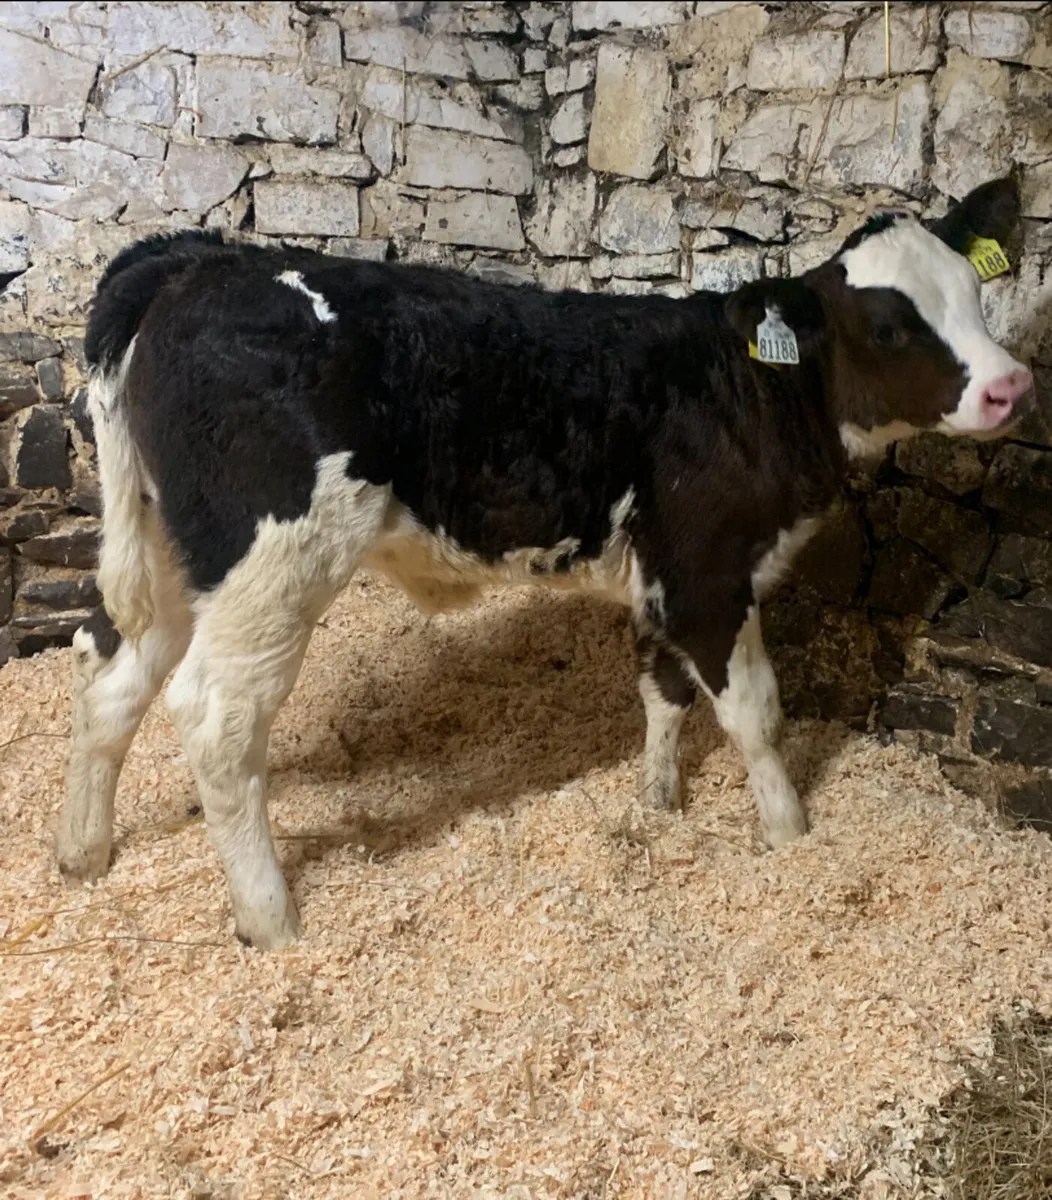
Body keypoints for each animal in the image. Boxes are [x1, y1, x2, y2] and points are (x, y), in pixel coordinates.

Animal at [54, 175, 1034, 949]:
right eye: (889, 324)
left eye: (974, 293)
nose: (1011, 386)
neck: (749, 388)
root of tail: (195, 260)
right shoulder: (707, 571)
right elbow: (756, 714)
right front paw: (791, 835)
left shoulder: (660, 575)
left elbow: (662, 692)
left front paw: (658, 801)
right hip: (271, 563)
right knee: (216, 721)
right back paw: (272, 919)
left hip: (174, 556)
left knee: (110, 682)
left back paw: (83, 855)